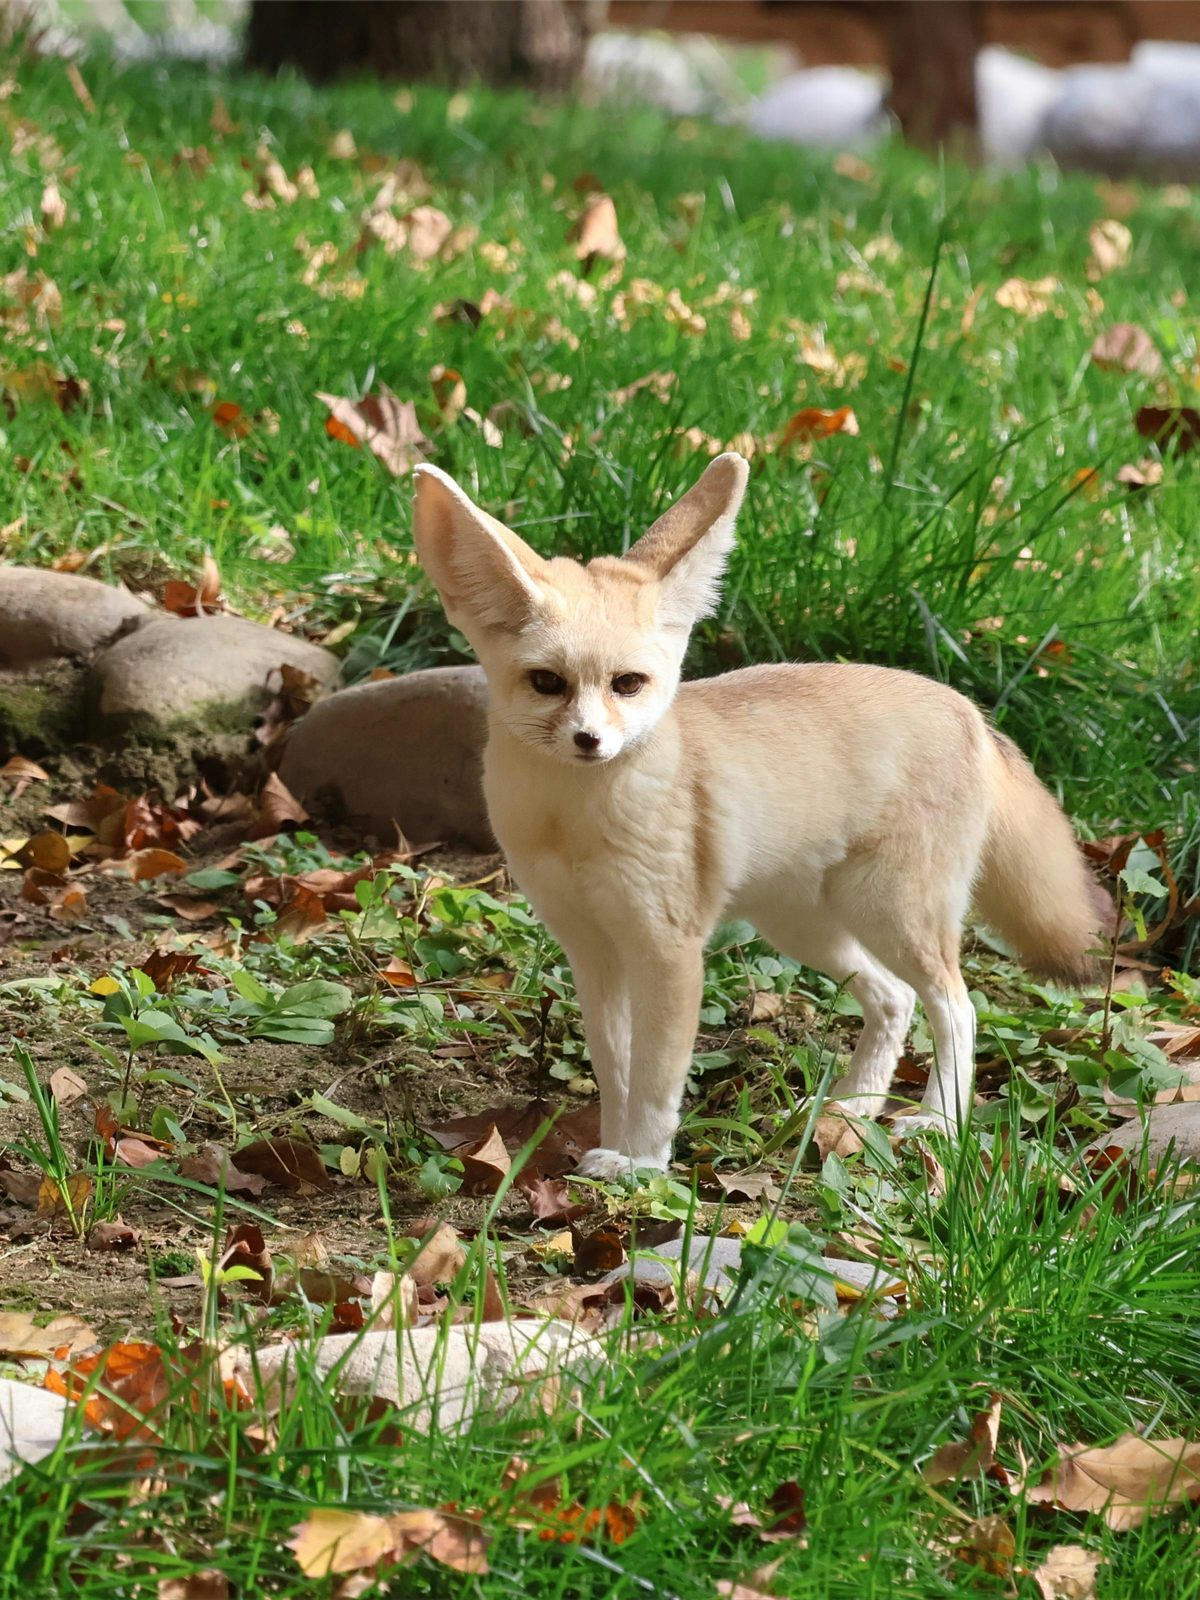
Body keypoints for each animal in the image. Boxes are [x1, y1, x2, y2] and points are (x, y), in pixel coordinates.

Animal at [411, 452, 1106, 1179]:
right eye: (548, 683)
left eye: (628, 684)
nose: (589, 741)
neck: (573, 825)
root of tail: (967, 706)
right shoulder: (592, 949)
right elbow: (616, 1071)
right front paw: (611, 1151)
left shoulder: (668, 949)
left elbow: (656, 1079)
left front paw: (644, 1167)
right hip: (808, 928)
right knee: (895, 999)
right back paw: (852, 1111)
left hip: (892, 916)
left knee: (958, 1009)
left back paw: (939, 1121)